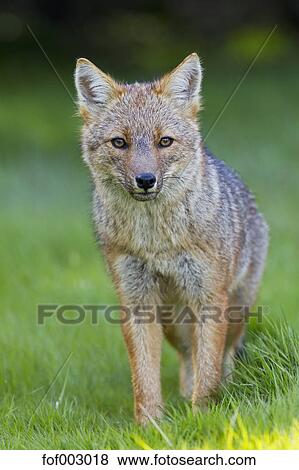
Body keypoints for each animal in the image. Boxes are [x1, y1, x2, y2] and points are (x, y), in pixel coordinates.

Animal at [75, 53, 270, 424]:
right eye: (119, 142)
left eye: (164, 141)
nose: (145, 179)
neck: (156, 241)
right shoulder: (137, 302)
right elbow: (144, 377)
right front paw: (150, 426)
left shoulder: (209, 298)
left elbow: (208, 372)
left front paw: (203, 418)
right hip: (172, 321)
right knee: (187, 356)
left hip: (234, 311)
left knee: (223, 356)